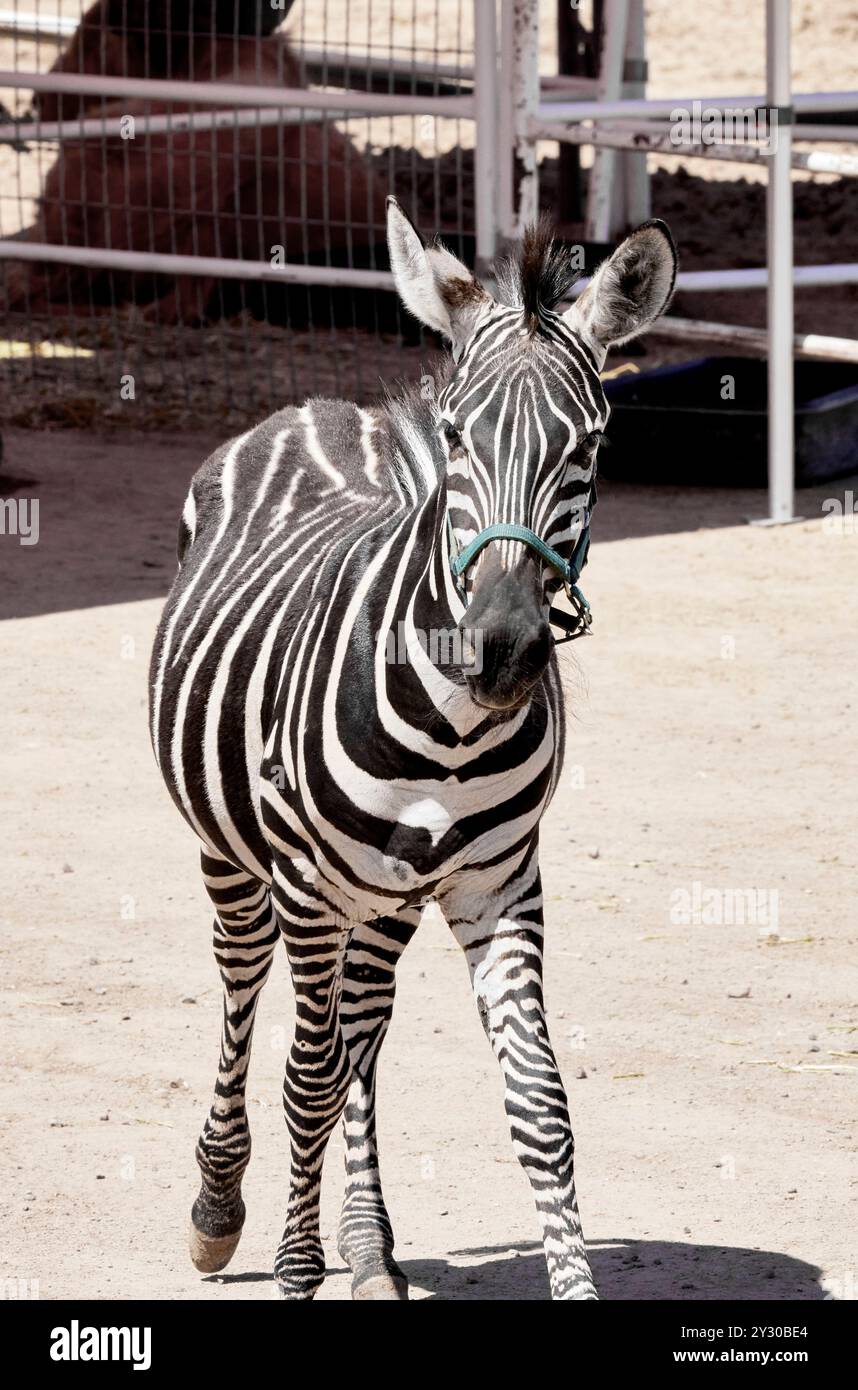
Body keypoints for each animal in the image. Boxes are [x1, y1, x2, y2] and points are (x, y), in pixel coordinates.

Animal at [149, 197, 676, 1301]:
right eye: (458, 435)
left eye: (592, 442)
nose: (504, 648)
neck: (451, 734)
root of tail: (316, 407)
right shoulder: (308, 884)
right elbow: (305, 1082)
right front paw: (292, 1268)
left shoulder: (500, 884)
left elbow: (540, 1107)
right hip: (236, 857)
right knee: (245, 986)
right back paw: (220, 1208)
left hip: (384, 901)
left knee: (363, 1031)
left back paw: (370, 1242)